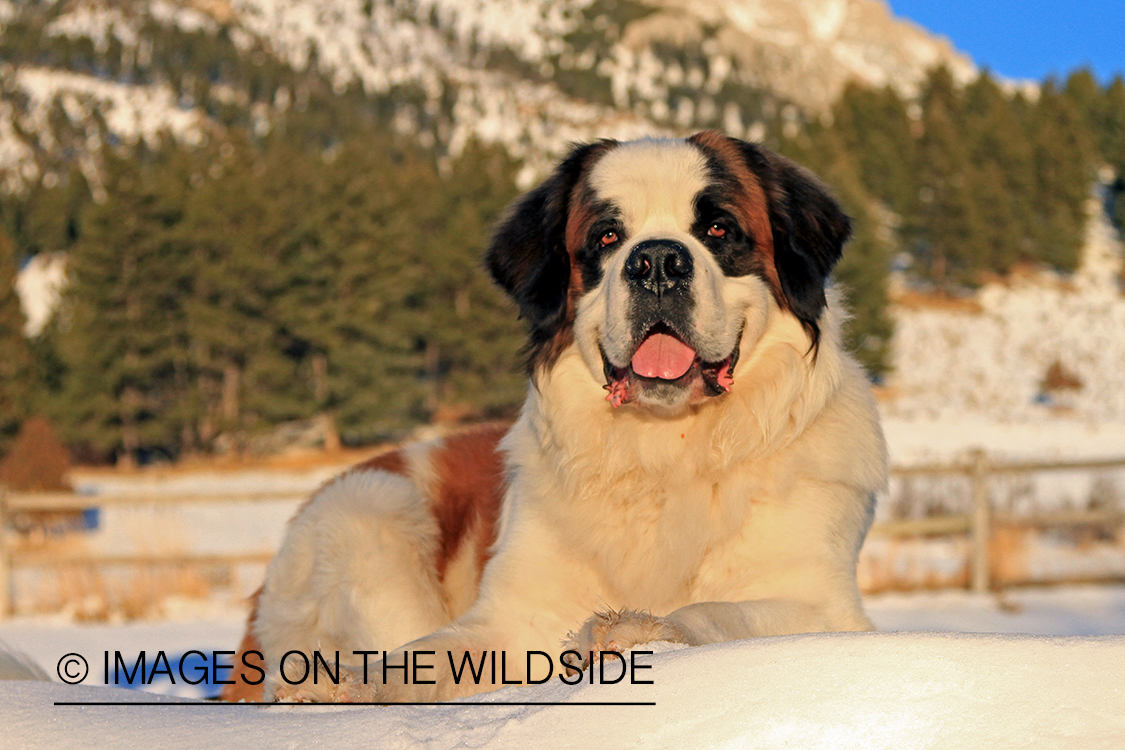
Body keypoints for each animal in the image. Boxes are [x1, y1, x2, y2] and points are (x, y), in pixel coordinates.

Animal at [219, 130, 886, 706]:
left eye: (719, 228)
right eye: (608, 237)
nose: (657, 262)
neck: (664, 449)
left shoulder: (822, 605)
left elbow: (724, 613)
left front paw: (634, 630)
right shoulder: (509, 617)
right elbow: (426, 656)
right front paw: (351, 685)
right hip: (373, 507)